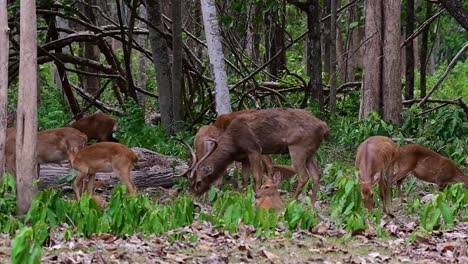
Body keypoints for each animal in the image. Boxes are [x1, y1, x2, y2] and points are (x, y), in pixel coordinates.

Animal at [179, 107, 330, 202]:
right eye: (189, 182)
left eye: (198, 182)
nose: (191, 197)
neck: (234, 144)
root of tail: (324, 127)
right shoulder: (244, 157)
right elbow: (245, 177)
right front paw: (244, 195)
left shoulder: (254, 149)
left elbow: (257, 176)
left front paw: (256, 197)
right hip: (311, 151)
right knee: (317, 174)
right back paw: (312, 204)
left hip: (298, 147)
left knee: (304, 176)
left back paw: (292, 201)